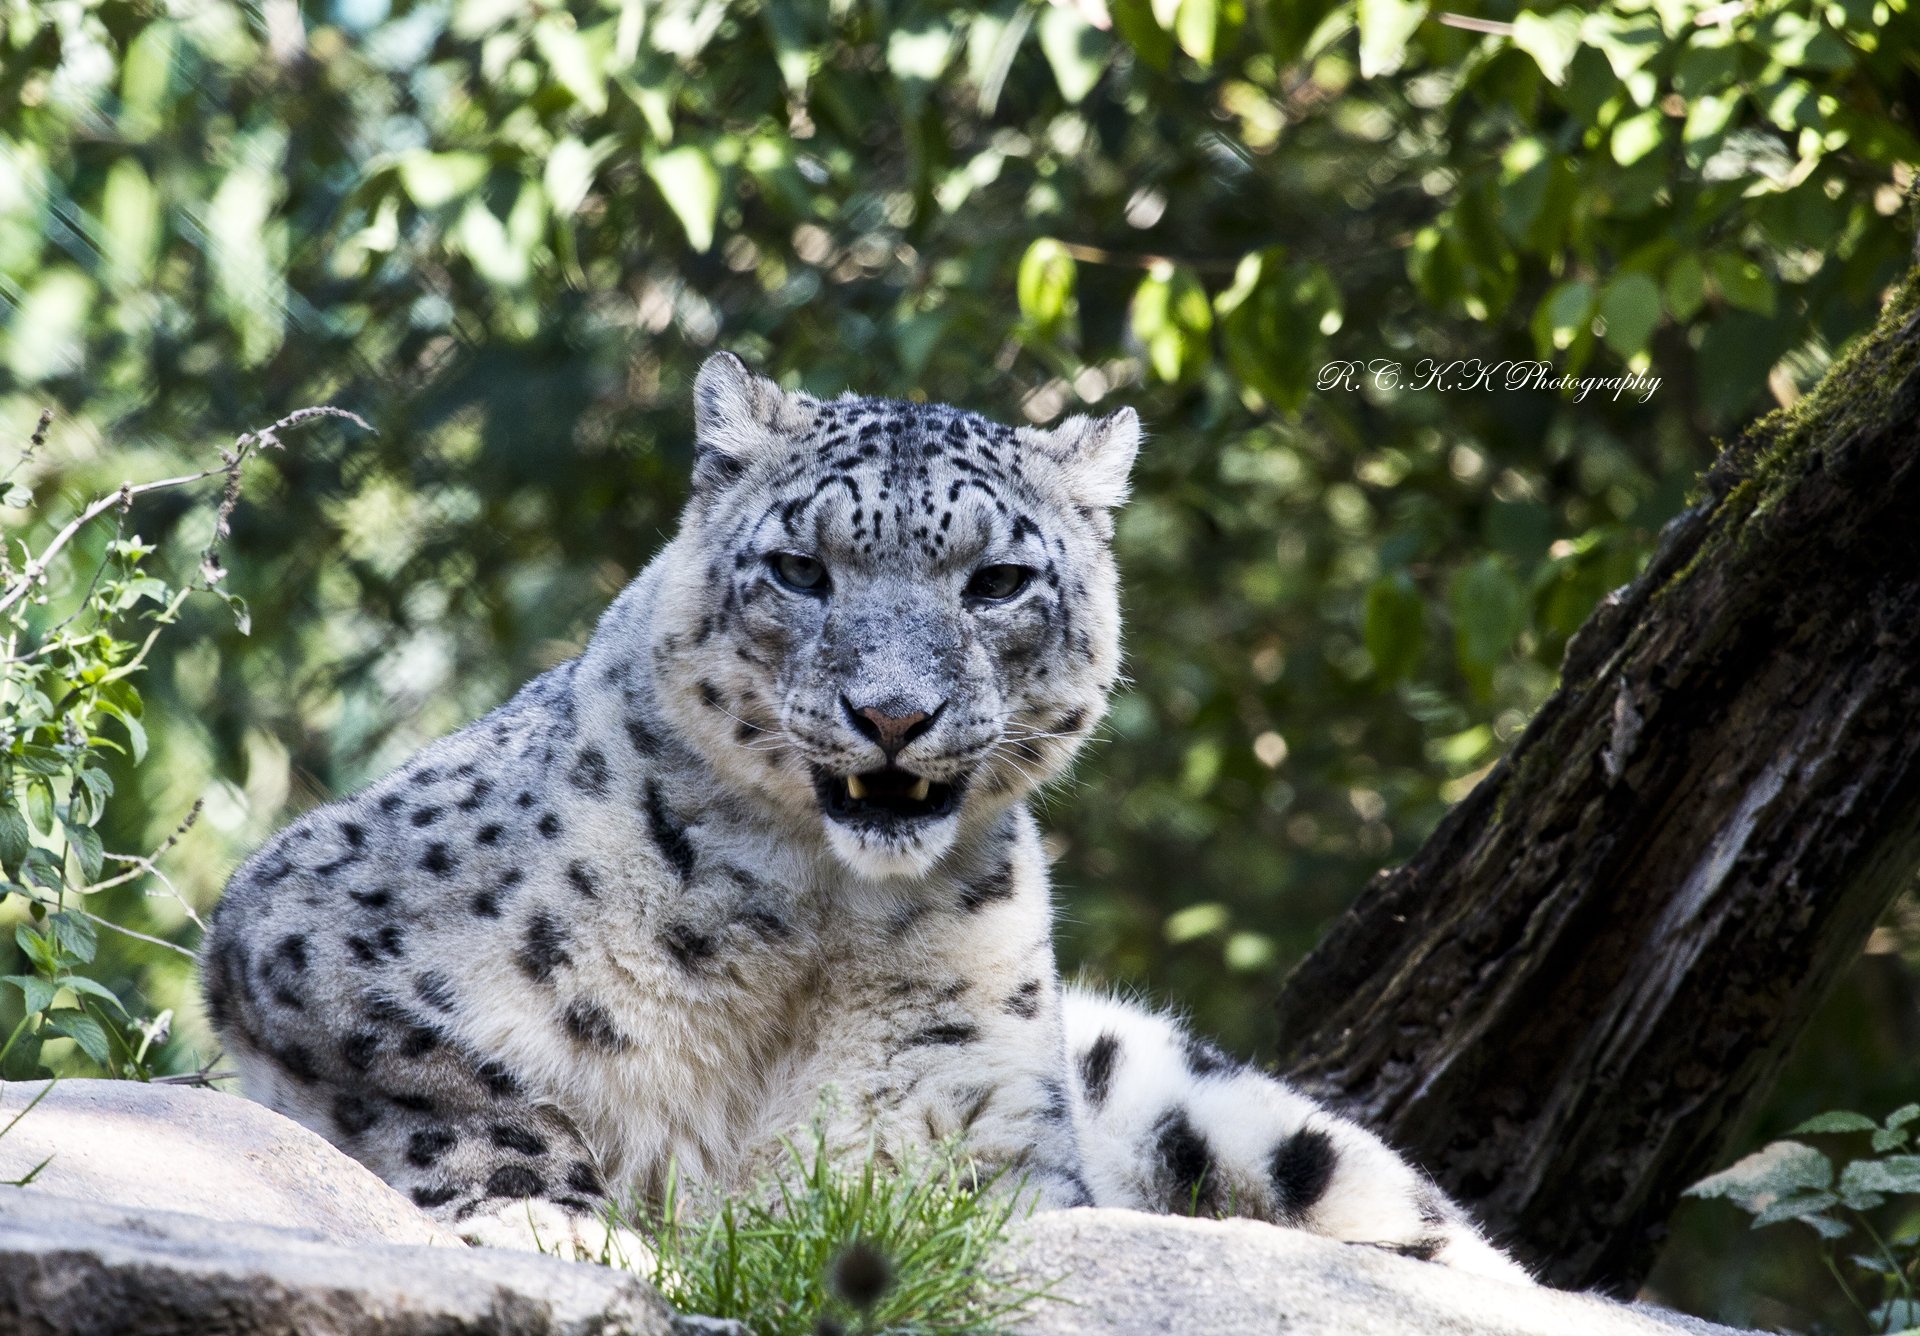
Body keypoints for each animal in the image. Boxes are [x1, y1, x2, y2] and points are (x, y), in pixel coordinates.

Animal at [200, 352, 1527, 1282]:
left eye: (998, 581)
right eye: (801, 569)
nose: (892, 713)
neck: (815, 921)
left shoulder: (991, 1126)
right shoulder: (305, 927)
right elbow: (456, 1079)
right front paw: (566, 1220)